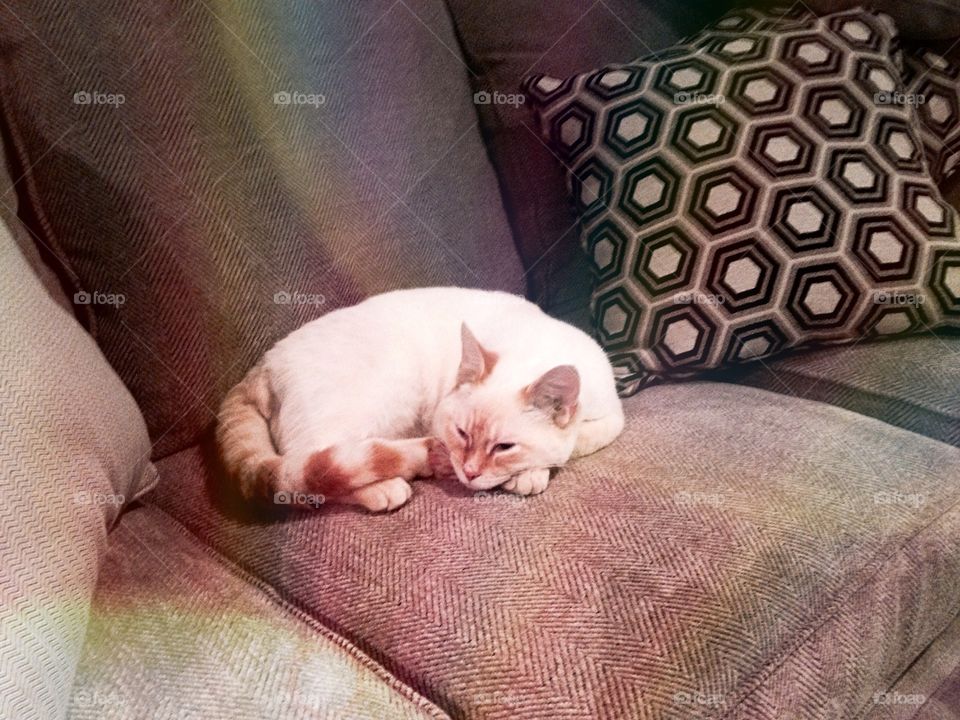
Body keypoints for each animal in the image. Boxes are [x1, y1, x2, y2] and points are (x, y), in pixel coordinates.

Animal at [216, 286, 624, 512]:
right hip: (383, 395)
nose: (469, 473)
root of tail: (263, 364)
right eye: (462, 434)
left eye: (504, 446)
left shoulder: (612, 417)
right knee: (308, 471)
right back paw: (388, 485)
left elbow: (578, 441)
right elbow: (569, 446)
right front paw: (530, 473)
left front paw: (530, 471)